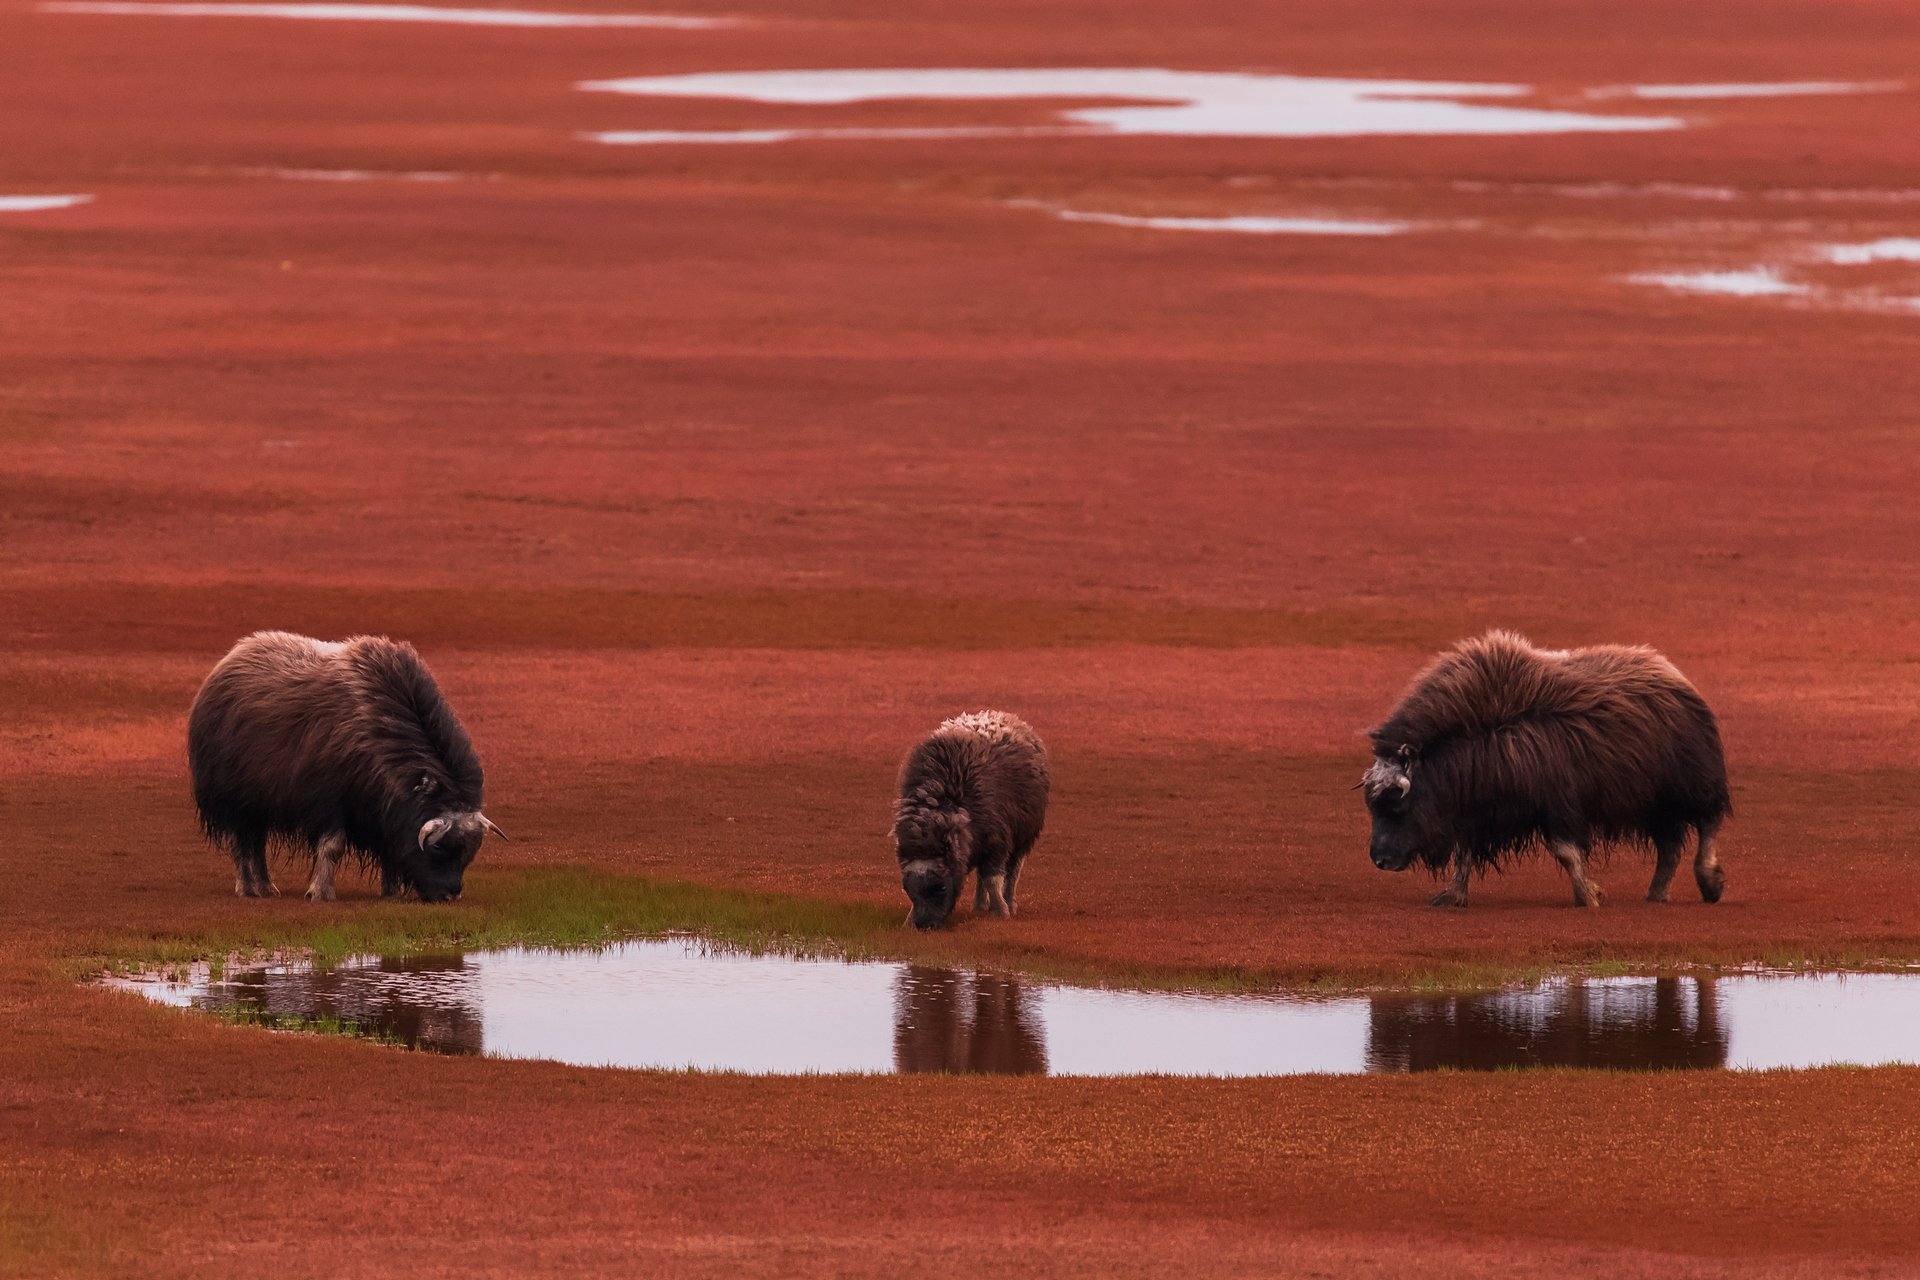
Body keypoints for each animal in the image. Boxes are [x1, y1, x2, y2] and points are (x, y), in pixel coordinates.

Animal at [185, 637, 503, 905]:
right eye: (439, 848)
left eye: (470, 851)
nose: (449, 896)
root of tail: (226, 662)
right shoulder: (329, 804)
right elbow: (332, 847)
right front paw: (321, 893)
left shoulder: (383, 813)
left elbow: (389, 850)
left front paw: (391, 892)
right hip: (235, 804)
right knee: (241, 844)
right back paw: (247, 888)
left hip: (259, 809)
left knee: (257, 845)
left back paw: (267, 888)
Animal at [894, 710, 1052, 932]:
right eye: (907, 888)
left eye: (941, 887)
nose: (924, 926)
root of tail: (1005, 715)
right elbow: (985, 877)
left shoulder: (997, 842)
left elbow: (993, 878)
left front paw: (1000, 912)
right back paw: (979, 906)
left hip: (1022, 838)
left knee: (1012, 872)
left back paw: (1009, 903)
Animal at [1359, 633, 1735, 909]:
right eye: (1373, 806)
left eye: (1397, 805)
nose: (1379, 860)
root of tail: (1674, 676)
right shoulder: (1476, 809)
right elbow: (1464, 853)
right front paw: (1451, 897)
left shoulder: (1559, 804)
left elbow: (1566, 852)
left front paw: (1589, 897)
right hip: (1653, 806)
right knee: (1669, 847)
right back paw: (1656, 895)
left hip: (1690, 786)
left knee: (1707, 824)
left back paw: (1710, 884)